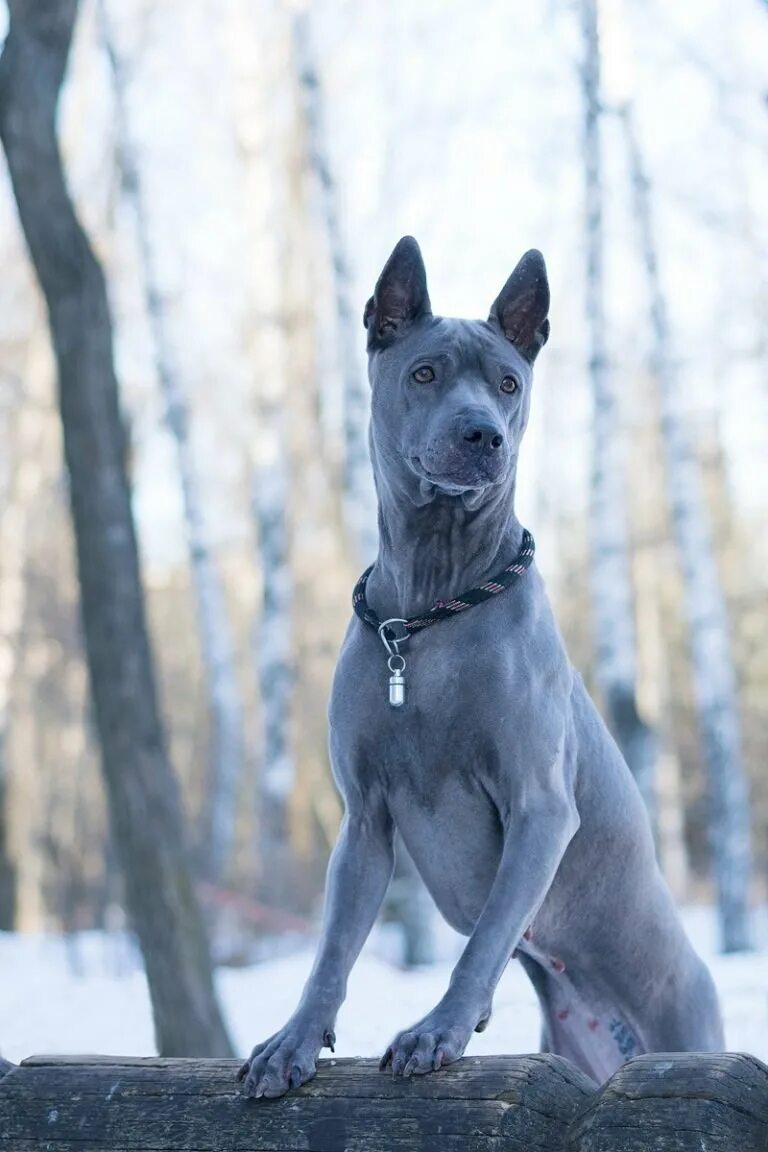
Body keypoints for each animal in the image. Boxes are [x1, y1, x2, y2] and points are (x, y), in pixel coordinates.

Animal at [238, 233, 723, 1096]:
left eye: (507, 383)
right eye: (425, 373)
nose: (483, 435)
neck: (432, 608)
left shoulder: (540, 804)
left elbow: (487, 935)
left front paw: (439, 1030)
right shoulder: (363, 821)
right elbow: (331, 951)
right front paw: (291, 1042)